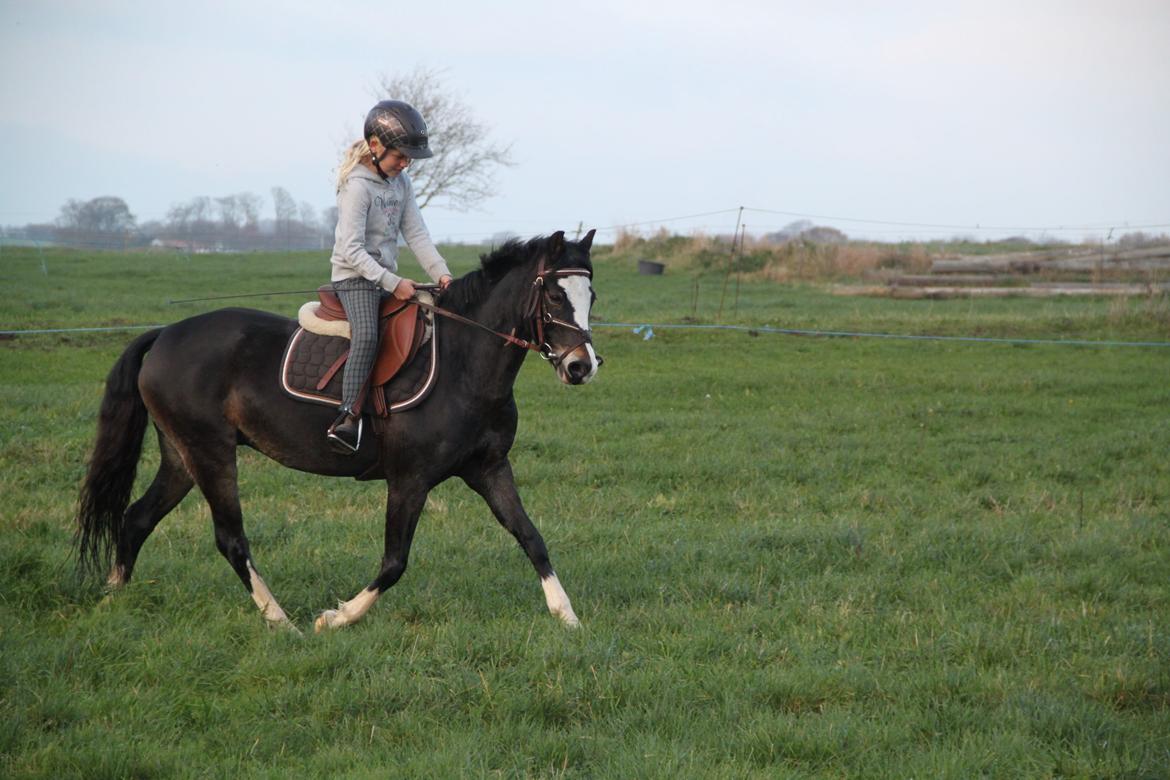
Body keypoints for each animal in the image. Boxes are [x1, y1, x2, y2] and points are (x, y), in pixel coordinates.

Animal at [76, 230, 600, 632]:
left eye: (591, 297)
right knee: (229, 539)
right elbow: (395, 561)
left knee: (136, 518)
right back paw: (281, 621)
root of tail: (165, 333)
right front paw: (337, 617)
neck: (462, 364)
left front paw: (568, 618)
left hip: (181, 456)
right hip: (210, 453)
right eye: (555, 296)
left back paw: (111, 600)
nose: (581, 366)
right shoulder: (409, 480)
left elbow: (531, 536)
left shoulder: (489, 468)